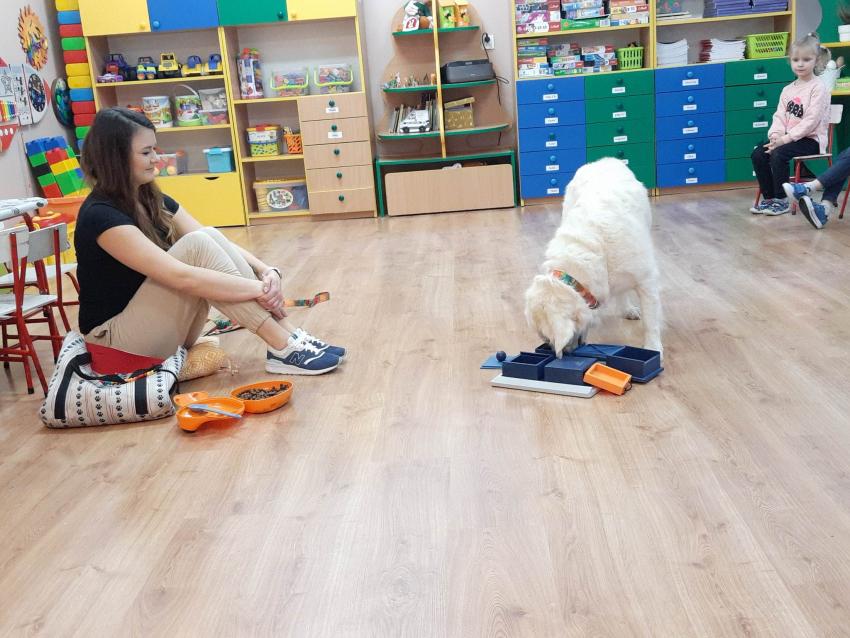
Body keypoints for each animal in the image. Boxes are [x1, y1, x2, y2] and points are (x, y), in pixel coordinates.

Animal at [524, 157, 663, 358]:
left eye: (547, 337)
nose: (563, 353)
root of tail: (604, 160)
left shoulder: (646, 280)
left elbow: (651, 322)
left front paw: (654, 348)